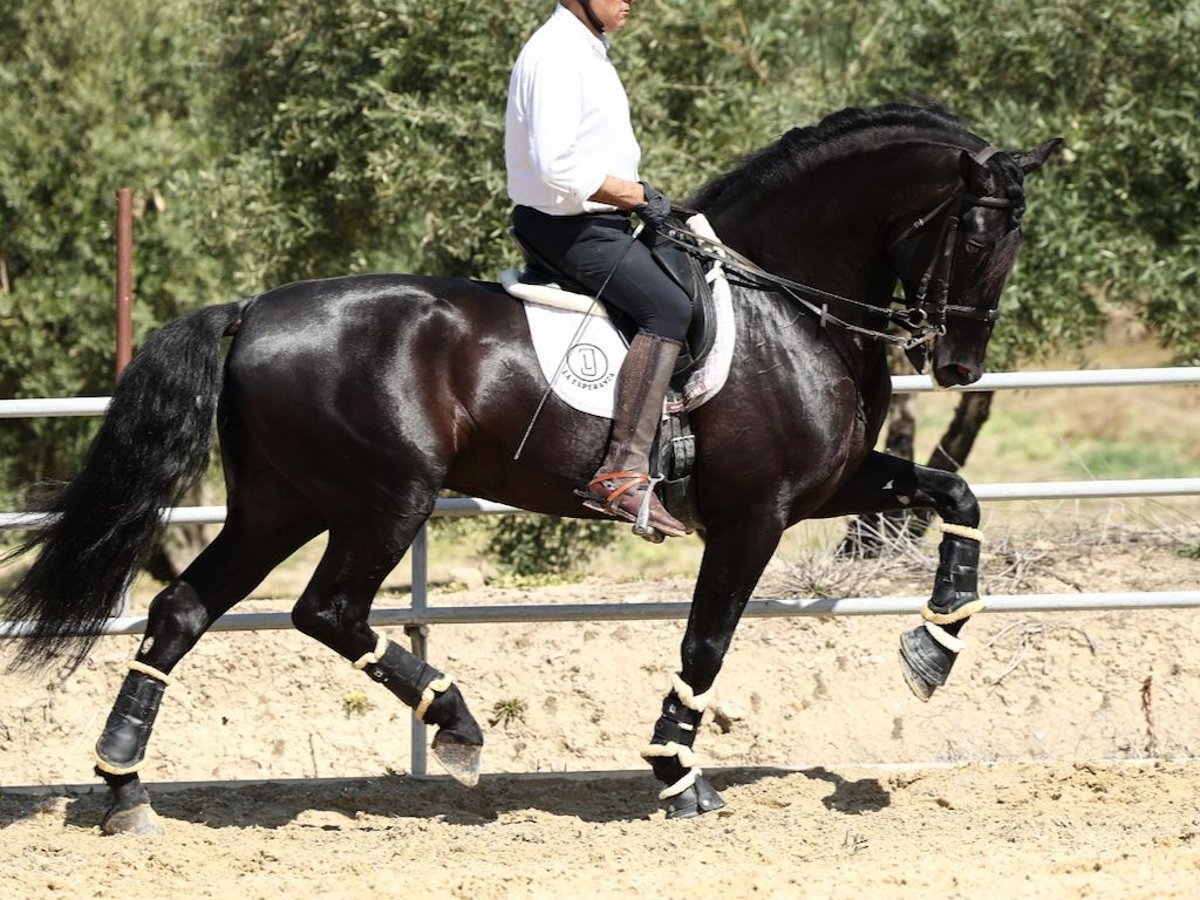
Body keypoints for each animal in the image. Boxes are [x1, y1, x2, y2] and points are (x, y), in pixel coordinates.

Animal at [7, 105, 1060, 830]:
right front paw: (678, 774)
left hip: (282, 503)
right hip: (385, 498)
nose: (959, 366)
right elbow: (706, 644)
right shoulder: (756, 515)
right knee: (328, 611)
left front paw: (932, 650)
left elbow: (956, 493)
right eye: (976, 231)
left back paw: (124, 788)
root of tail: (255, 308)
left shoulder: (832, 486)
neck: (785, 308)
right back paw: (455, 723)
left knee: (183, 611)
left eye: (1017, 237)